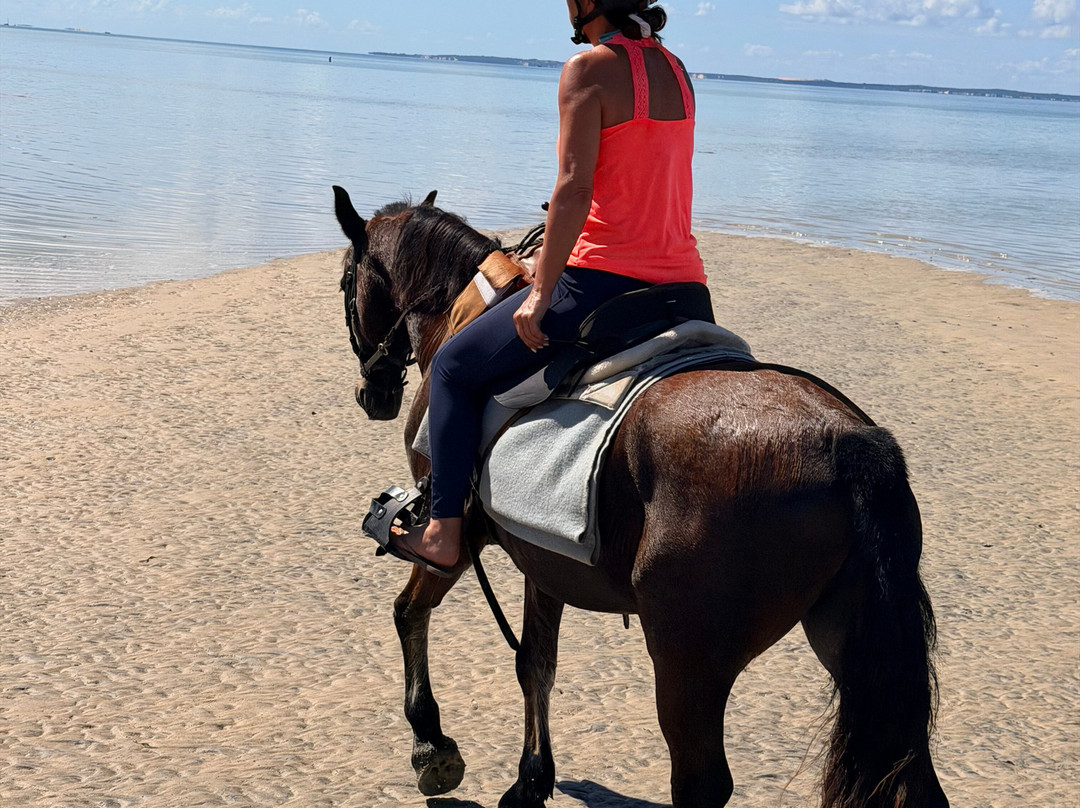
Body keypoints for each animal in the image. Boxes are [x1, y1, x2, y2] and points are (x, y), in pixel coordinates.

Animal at [332, 185, 949, 808]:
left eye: (343, 282)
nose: (372, 394)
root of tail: (849, 442)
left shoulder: (460, 534)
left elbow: (410, 612)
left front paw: (430, 743)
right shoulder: (544, 556)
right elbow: (535, 662)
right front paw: (530, 780)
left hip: (687, 657)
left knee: (700, 782)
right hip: (854, 647)